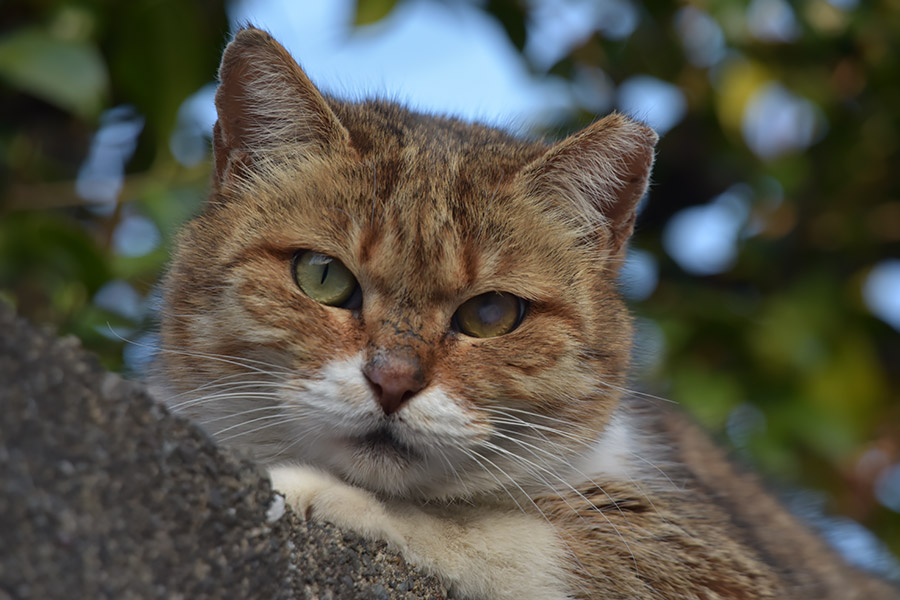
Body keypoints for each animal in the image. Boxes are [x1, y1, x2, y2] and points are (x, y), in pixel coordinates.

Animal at [151, 28, 896, 600]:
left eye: (491, 312)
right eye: (323, 276)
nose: (393, 382)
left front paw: (326, 492)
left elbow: (503, 534)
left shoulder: (714, 564)